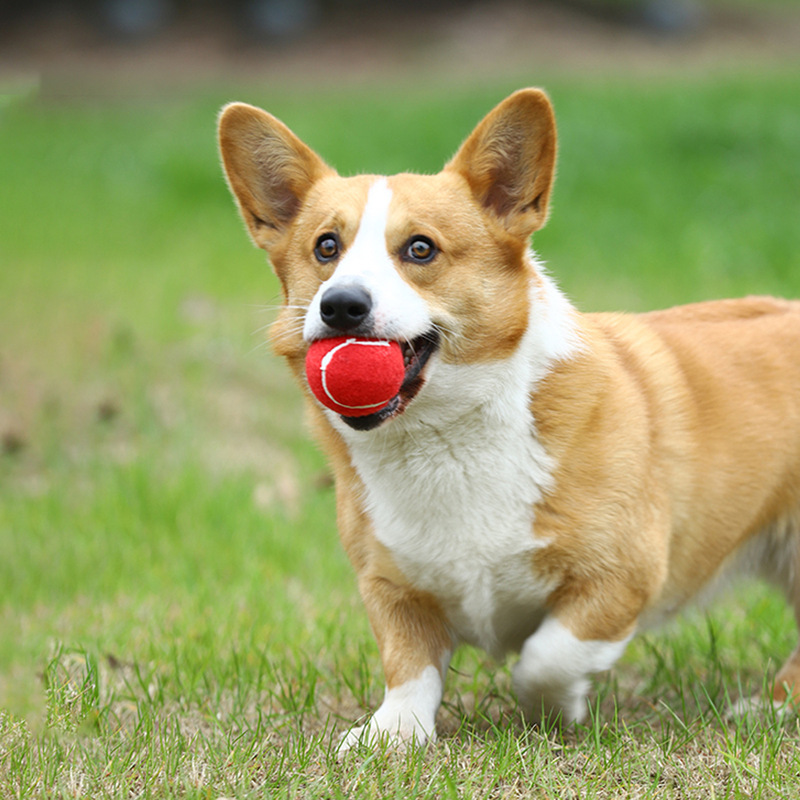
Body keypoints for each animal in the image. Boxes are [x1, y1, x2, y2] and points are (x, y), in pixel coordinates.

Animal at [217, 89, 800, 752]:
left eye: (420, 248)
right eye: (325, 247)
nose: (341, 305)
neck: (442, 440)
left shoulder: (619, 577)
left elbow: (545, 659)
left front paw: (556, 711)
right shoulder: (391, 588)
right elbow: (408, 667)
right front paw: (391, 735)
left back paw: (769, 708)